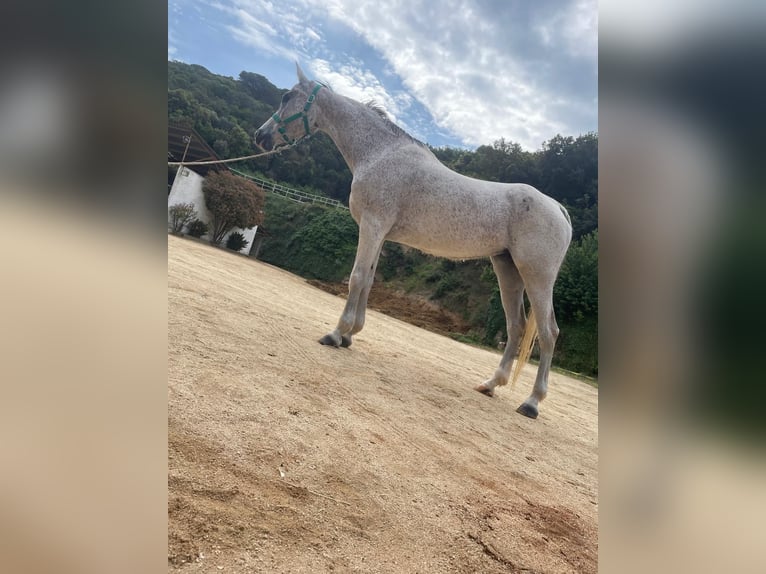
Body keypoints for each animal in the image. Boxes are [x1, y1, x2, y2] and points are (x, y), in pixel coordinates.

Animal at [255, 64, 572, 419]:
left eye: (287, 97)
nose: (260, 136)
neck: (379, 153)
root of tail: (558, 209)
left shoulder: (372, 226)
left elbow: (357, 278)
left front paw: (336, 334)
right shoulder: (379, 233)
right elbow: (368, 282)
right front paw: (351, 335)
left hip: (537, 277)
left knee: (548, 332)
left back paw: (531, 402)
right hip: (507, 269)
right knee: (516, 326)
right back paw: (490, 385)